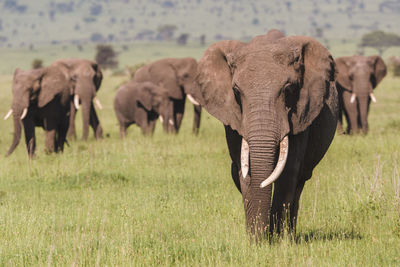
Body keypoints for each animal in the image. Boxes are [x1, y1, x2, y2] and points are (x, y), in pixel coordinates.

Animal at [190, 30, 338, 240]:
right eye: (236, 91)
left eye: (289, 89)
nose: (262, 238)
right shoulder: (234, 120)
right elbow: (244, 170)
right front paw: (255, 240)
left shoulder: (301, 115)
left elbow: (288, 171)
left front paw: (276, 240)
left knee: (299, 182)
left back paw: (289, 235)